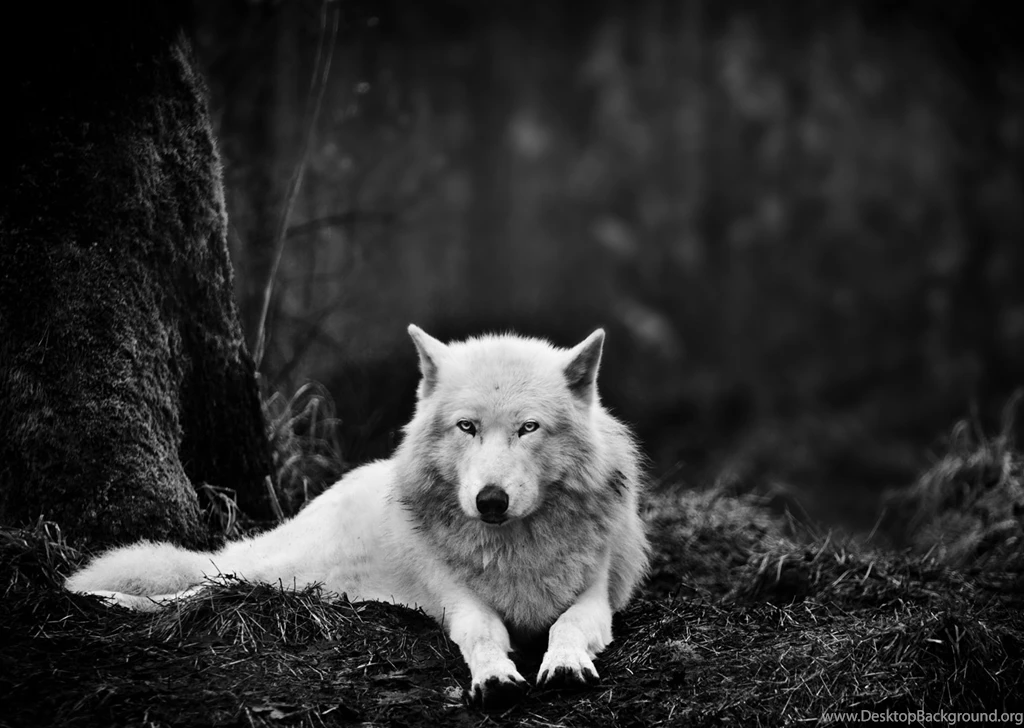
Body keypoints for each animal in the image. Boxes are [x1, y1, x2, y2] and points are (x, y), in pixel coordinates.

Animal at [66, 325, 650, 708]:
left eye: (529, 428)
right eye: (467, 427)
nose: (490, 501)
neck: (514, 547)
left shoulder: (596, 598)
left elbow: (568, 625)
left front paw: (565, 663)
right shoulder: (460, 603)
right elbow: (483, 634)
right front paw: (493, 677)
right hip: (277, 573)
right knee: (198, 586)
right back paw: (99, 597)